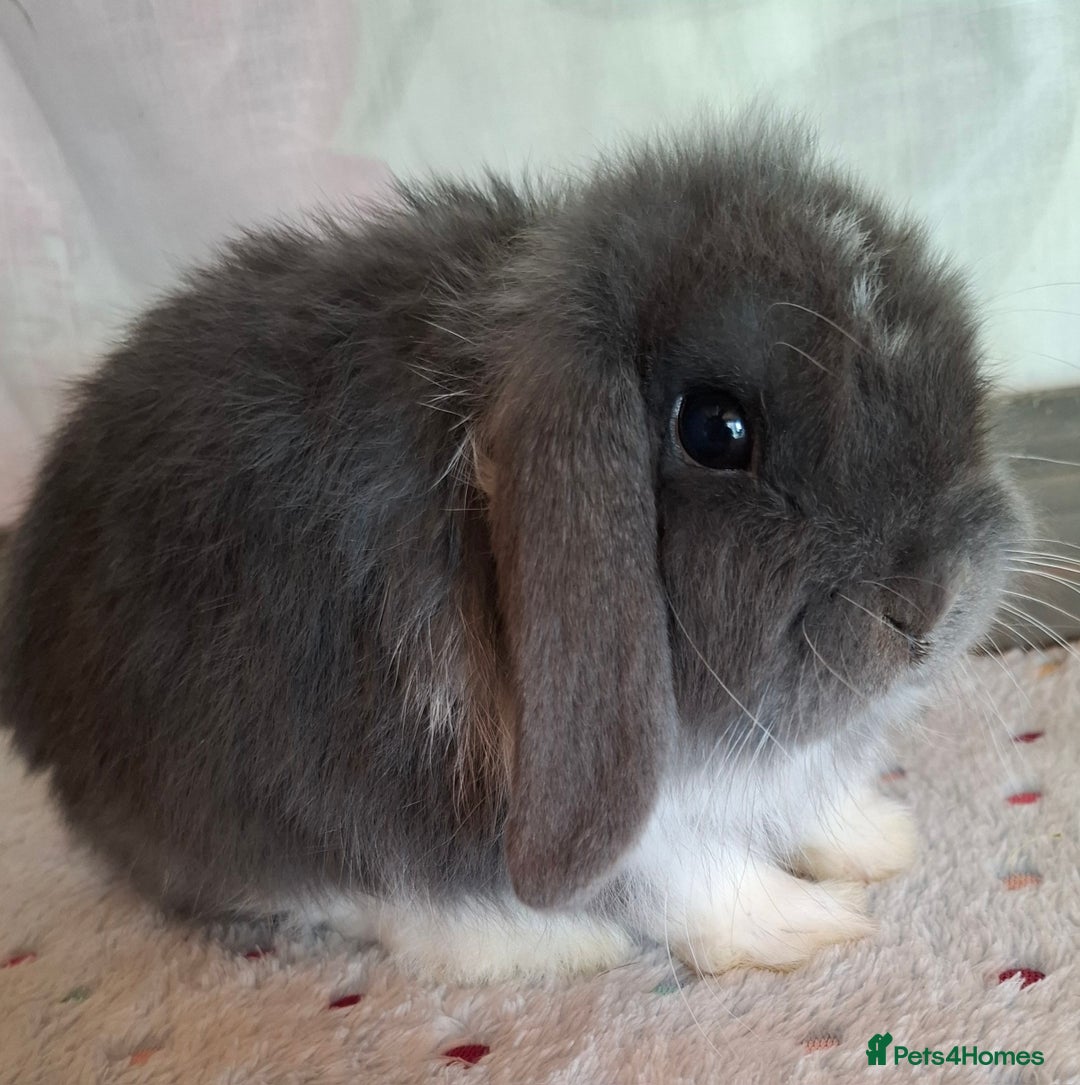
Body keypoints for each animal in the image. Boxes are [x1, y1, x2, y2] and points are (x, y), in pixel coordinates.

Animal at [0, 118, 1023, 982]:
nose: (931, 603)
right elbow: (692, 874)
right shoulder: (608, 806)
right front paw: (811, 925)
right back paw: (541, 941)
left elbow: (807, 801)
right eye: (716, 428)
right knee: (356, 894)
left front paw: (879, 839)